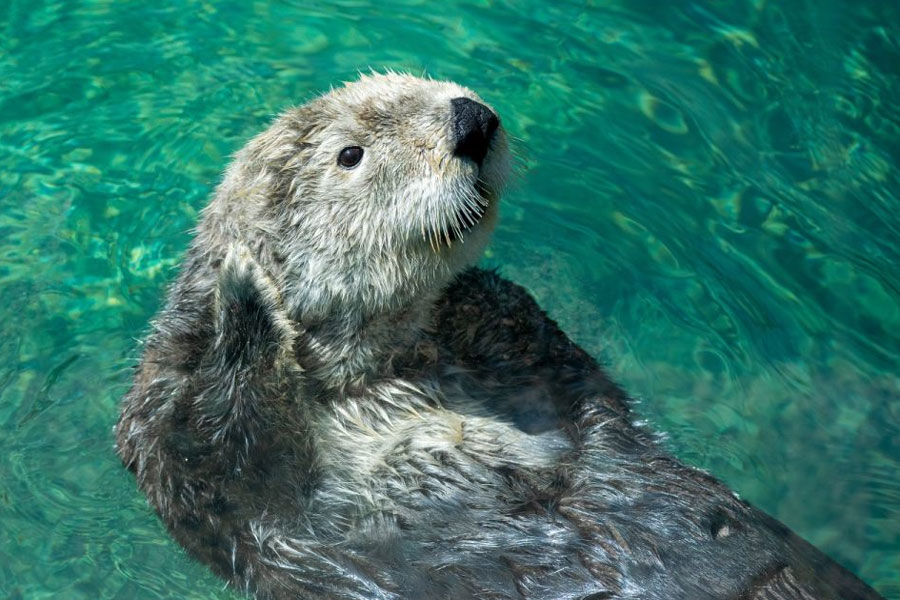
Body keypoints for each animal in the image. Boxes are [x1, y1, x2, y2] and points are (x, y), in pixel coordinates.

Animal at [116, 74, 884, 600]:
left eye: (424, 83)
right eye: (350, 154)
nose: (470, 118)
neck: (382, 369)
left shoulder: (528, 342)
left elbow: (578, 394)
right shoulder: (185, 450)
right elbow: (220, 449)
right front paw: (245, 297)